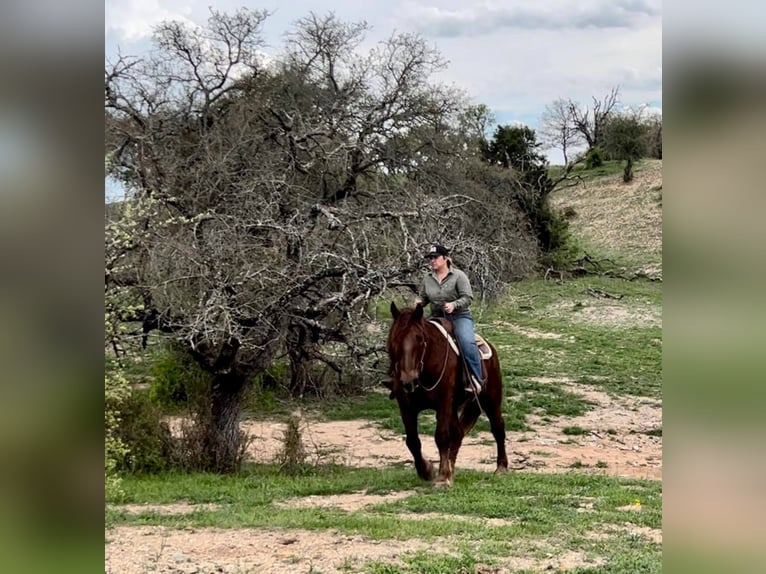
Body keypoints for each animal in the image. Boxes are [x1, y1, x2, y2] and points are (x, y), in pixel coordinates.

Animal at [384, 304, 510, 488]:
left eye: (420, 339)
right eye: (394, 338)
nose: (408, 380)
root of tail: (489, 347)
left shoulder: (443, 402)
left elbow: (442, 436)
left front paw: (442, 477)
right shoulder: (406, 405)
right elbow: (413, 441)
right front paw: (427, 471)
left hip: (491, 400)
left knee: (498, 428)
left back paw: (501, 468)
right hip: (455, 408)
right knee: (458, 434)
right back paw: (452, 469)